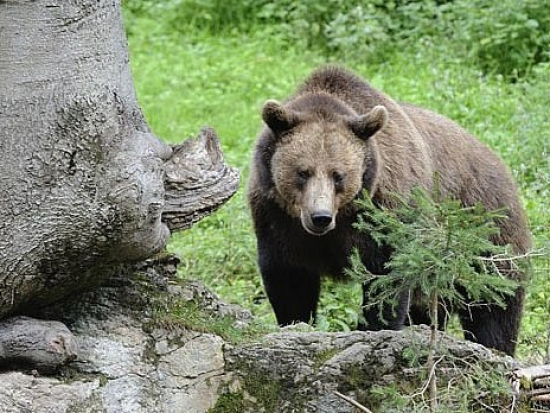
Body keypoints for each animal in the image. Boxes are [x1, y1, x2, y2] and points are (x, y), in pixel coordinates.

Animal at [248, 64, 532, 354]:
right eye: (302, 172)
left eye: (338, 175)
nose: (320, 217)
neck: (344, 216)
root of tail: (498, 161)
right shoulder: (277, 219)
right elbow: (290, 280)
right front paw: (296, 324)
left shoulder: (386, 212)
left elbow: (387, 279)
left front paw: (374, 329)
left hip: (484, 230)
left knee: (495, 305)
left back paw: (495, 347)